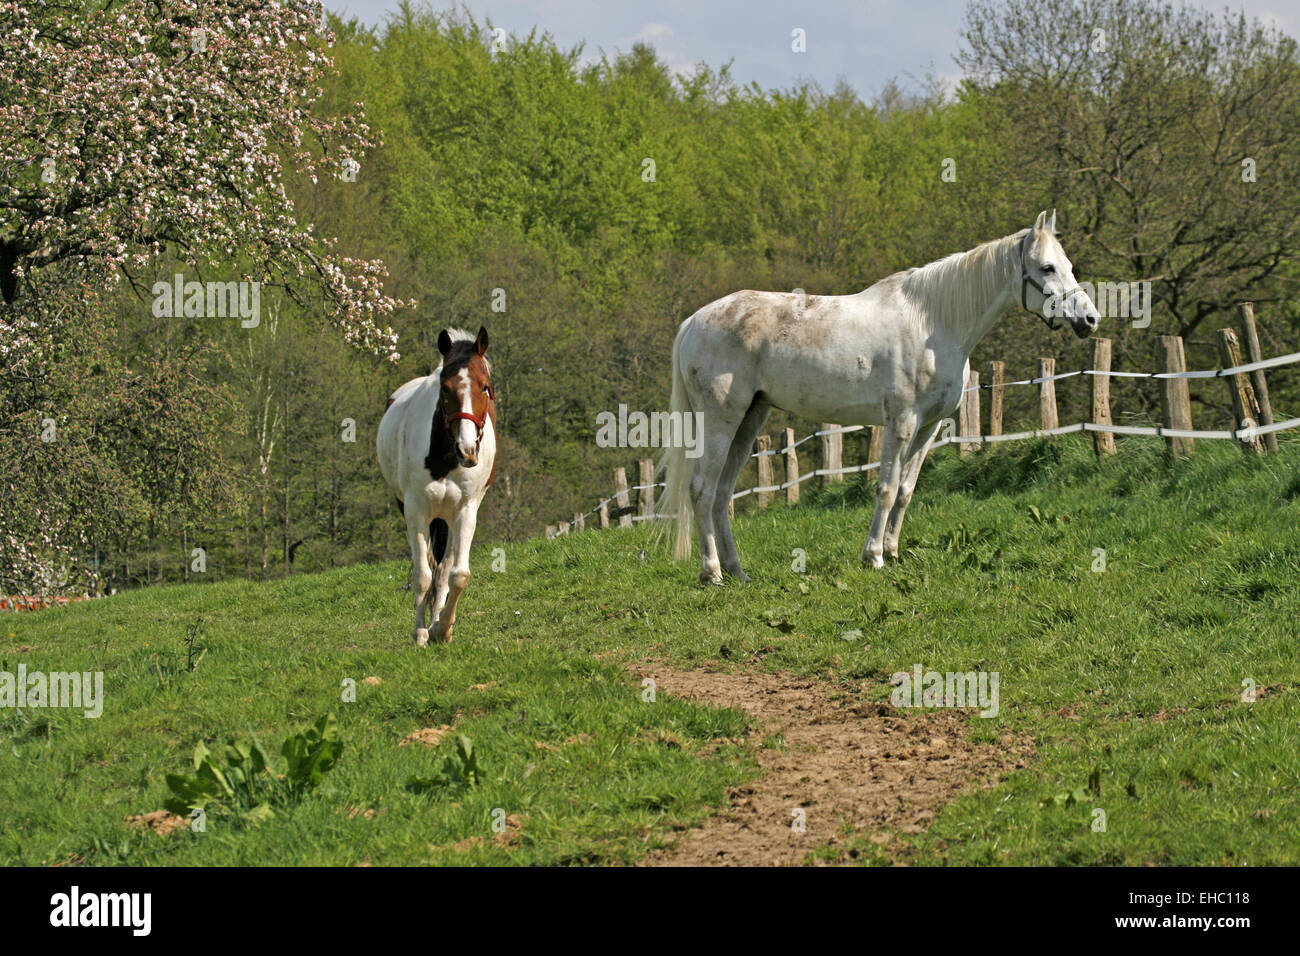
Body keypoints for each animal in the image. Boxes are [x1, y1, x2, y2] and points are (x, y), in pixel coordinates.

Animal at [379, 325, 499, 647]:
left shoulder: (466, 511)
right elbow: (422, 575)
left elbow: (456, 574)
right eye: (445, 389)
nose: (467, 450)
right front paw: (421, 632)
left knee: (443, 570)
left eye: (485, 387)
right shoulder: (415, 511)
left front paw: (442, 628)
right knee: (430, 568)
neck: (444, 458)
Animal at [660, 210, 1097, 582]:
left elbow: (905, 492)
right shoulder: (900, 422)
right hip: (721, 419)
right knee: (701, 491)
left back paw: (737, 572)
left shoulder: (929, 426)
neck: (933, 323)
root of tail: (694, 321)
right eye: (1047, 267)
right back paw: (712, 573)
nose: (1090, 318)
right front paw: (873, 557)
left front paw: (893, 551)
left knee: (721, 495)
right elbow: (885, 489)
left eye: (1069, 265)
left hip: (750, 419)